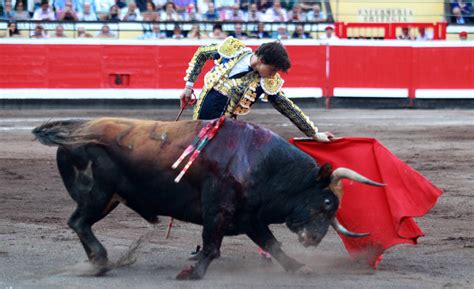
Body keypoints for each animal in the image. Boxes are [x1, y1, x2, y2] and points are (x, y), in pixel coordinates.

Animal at [32, 117, 382, 280]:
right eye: (327, 203)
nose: (313, 239)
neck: (261, 163)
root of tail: (76, 131)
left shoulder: (250, 216)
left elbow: (272, 244)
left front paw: (299, 267)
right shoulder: (219, 208)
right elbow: (212, 244)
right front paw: (192, 273)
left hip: (107, 198)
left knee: (79, 223)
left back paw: (98, 262)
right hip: (99, 194)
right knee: (78, 222)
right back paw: (100, 261)